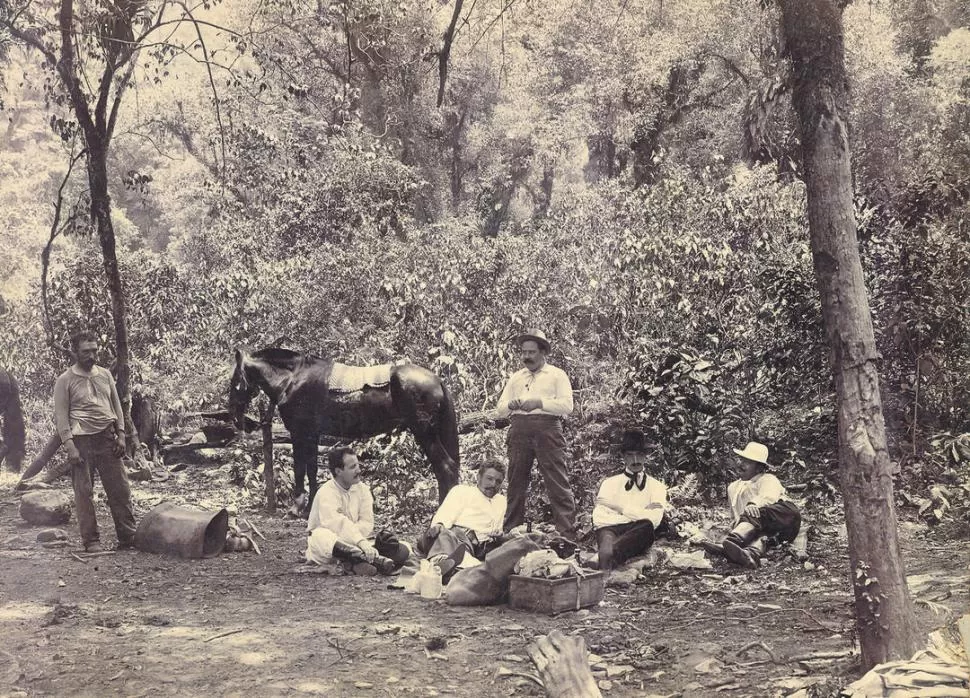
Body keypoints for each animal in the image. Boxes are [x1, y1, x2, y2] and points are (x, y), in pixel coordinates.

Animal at [229, 346, 460, 506]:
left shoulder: (300, 432)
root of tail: (437, 380)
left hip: (425, 433)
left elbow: (300, 468)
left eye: (235, 381)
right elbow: (312, 469)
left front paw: (298, 506)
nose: (237, 419)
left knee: (446, 468)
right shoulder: (312, 434)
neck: (293, 379)